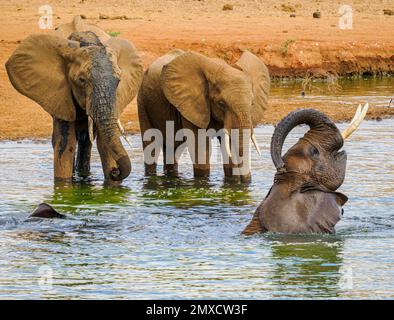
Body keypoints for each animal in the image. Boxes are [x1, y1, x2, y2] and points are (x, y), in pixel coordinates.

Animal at [5, 16, 144, 182]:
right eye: (81, 80)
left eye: (118, 81)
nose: (115, 171)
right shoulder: (60, 95)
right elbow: (65, 144)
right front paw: (64, 185)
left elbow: (103, 144)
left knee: (86, 140)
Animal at [137, 48, 270, 181]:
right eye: (221, 103)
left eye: (252, 103)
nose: (244, 181)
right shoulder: (192, 104)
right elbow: (200, 147)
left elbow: (228, 145)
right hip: (142, 100)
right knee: (151, 146)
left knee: (172, 148)